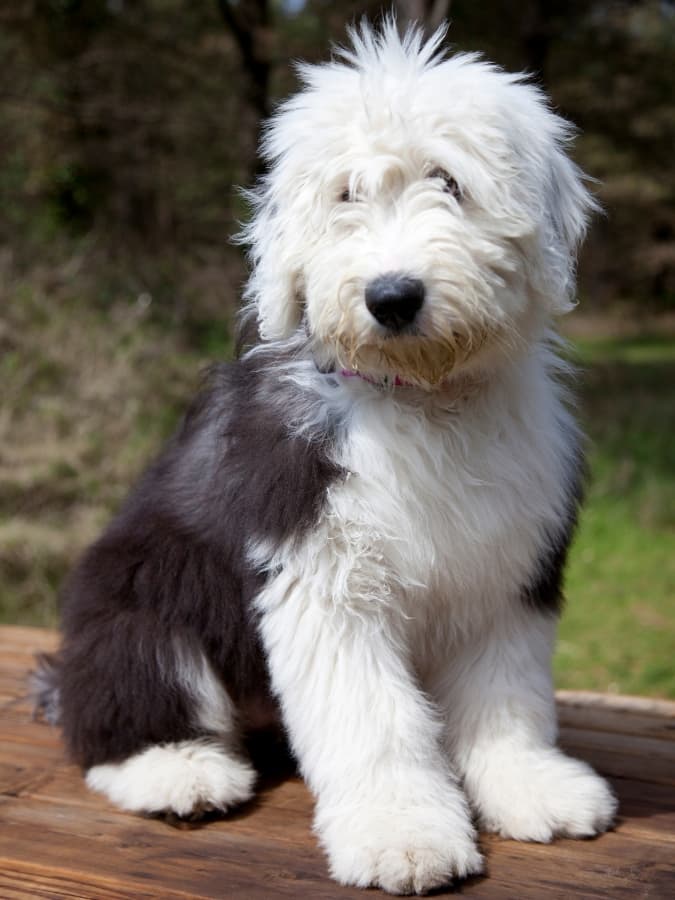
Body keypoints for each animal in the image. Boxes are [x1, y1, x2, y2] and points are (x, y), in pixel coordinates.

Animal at [38, 19, 616, 892]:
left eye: (448, 182)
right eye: (346, 194)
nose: (392, 296)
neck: (418, 401)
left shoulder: (504, 569)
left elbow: (504, 695)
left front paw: (530, 786)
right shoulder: (322, 568)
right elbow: (372, 718)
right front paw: (402, 835)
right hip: (143, 594)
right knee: (115, 709)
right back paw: (176, 772)